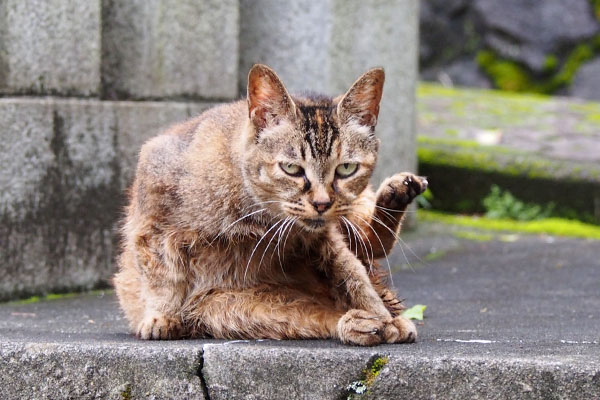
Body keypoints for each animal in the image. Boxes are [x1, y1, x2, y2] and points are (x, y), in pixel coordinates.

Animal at [112, 64, 428, 346]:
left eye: (346, 169)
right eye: (291, 168)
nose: (322, 203)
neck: (254, 215)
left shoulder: (325, 239)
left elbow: (353, 277)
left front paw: (383, 317)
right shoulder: (153, 206)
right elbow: (160, 274)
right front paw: (161, 316)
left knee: (370, 248)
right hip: (230, 310)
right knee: (320, 310)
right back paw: (359, 322)